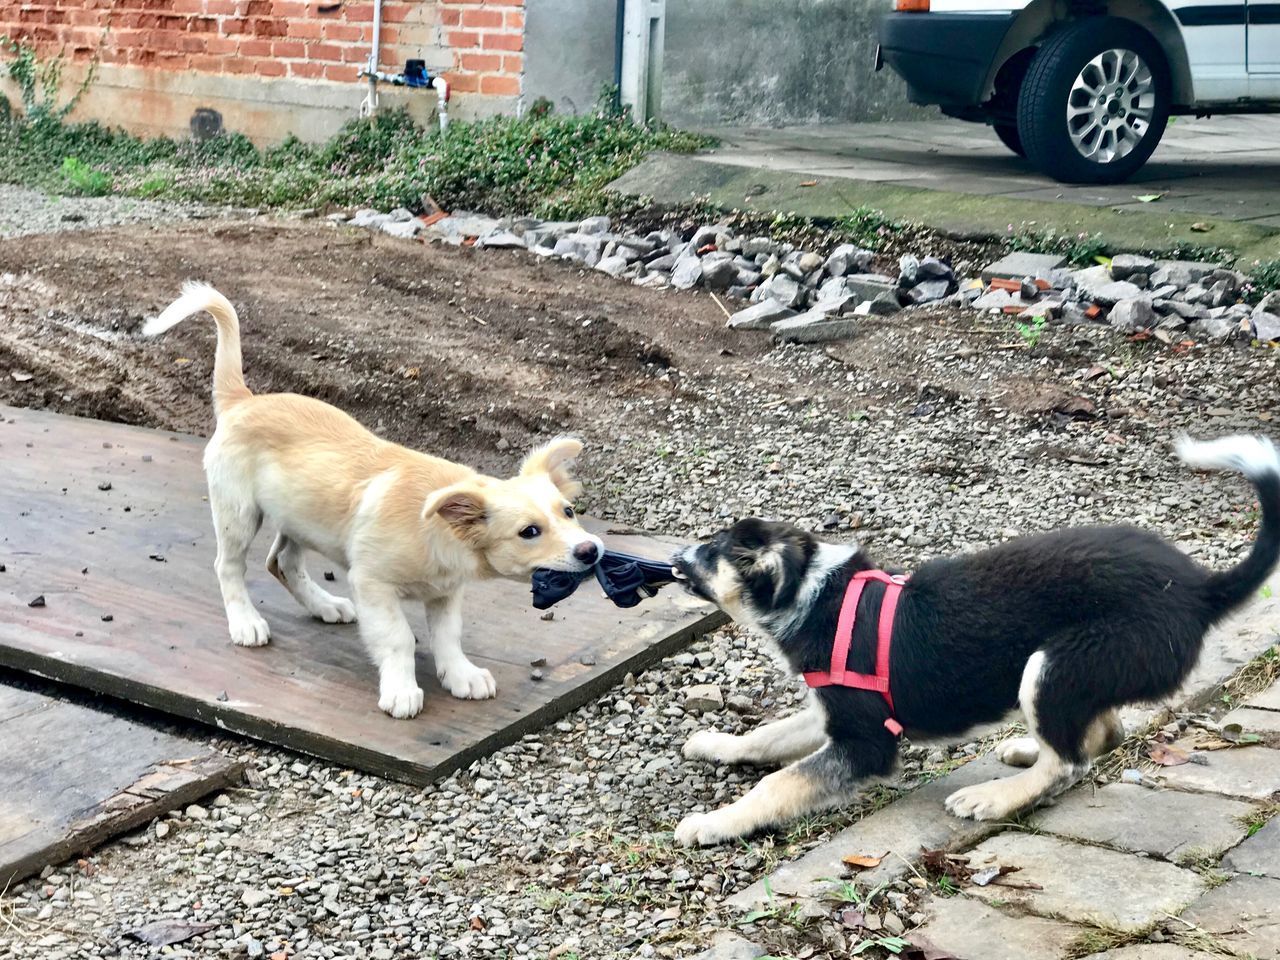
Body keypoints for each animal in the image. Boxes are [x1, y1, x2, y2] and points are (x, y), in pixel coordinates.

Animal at [145, 281, 604, 716]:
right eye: (529, 532)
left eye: (569, 512)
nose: (591, 551)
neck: (434, 530)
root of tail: (243, 400)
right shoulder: (373, 584)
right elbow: (398, 638)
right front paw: (401, 691)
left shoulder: (445, 592)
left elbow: (448, 636)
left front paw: (462, 675)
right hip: (238, 512)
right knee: (230, 566)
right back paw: (246, 623)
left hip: (299, 515)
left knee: (283, 562)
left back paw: (325, 605)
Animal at [670, 437, 1280, 849]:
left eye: (710, 552)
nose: (674, 558)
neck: (816, 594)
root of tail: (1200, 590)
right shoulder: (832, 710)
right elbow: (766, 737)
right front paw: (716, 744)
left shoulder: (865, 741)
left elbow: (778, 783)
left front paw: (712, 823)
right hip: (1082, 673)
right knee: (1100, 735)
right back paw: (1028, 749)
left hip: (1052, 665)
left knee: (1070, 762)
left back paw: (995, 796)